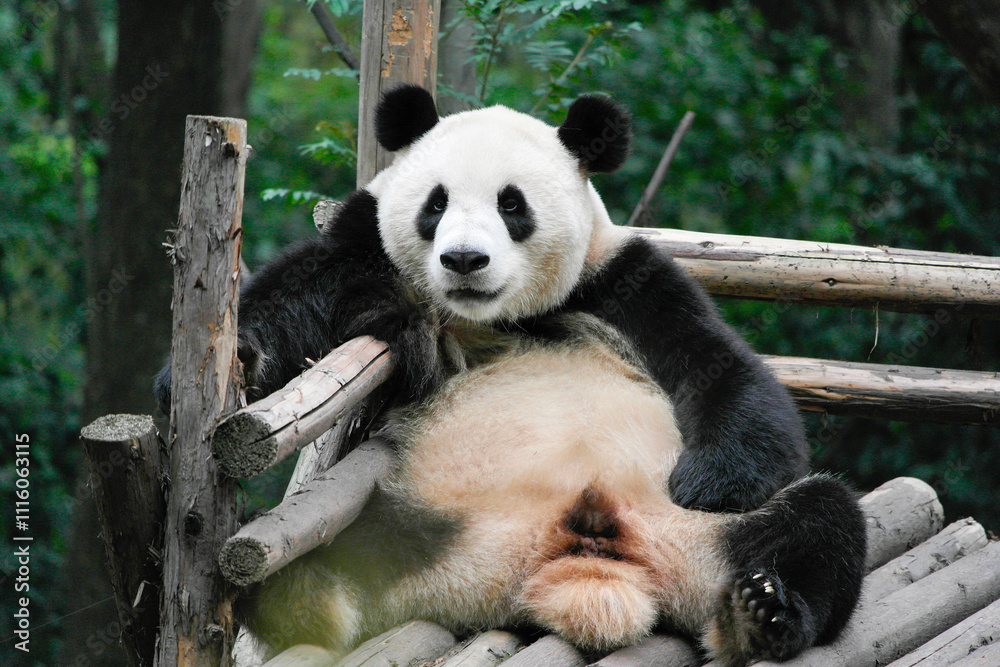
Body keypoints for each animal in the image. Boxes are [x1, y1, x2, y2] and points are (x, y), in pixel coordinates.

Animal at [156, 85, 867, 665]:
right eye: (435, 204)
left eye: (511, 204)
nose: (465, 260)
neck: (500, 315)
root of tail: (578, 567)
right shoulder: (365, 248)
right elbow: (294, 297)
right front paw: (231, 362)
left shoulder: (623, 282)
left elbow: (727, 373)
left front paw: (709, 478)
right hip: (430, 526)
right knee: (322, 560)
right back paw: (306, 596)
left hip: (693, 536)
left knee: (818, 520)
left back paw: (764, 613)